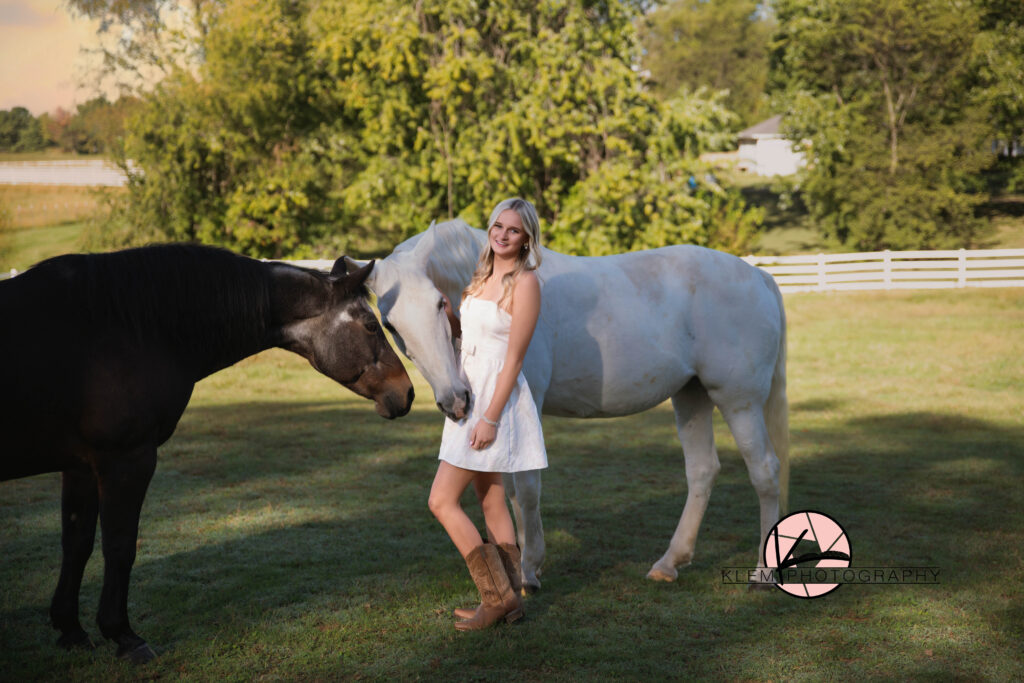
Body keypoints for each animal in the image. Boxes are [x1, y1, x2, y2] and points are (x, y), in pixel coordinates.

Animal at [2, 242, 415, 659]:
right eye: (371, 325)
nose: (408, 392)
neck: (131, 330)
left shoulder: (81, 466)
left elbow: (76, 544)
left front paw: (70, 629)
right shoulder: (126, 459)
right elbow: (119, 546)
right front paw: (123, 634)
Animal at [348, 220, 786, 593]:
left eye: (439, 304)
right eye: (389, 324)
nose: (456, 401)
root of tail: (760, 278)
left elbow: (527, 489)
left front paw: (529, 570)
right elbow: (511, 491)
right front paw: (524, 559)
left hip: (738, 400)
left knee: (764, 471)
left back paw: (763, 574)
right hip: (691, 396)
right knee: (702, 471)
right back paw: (668, 563)